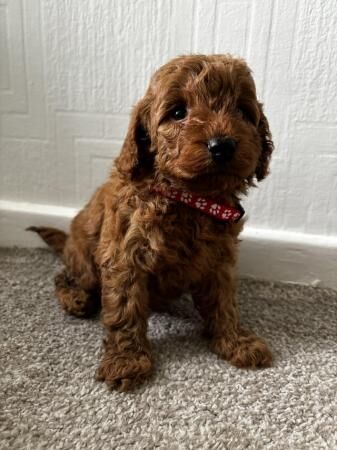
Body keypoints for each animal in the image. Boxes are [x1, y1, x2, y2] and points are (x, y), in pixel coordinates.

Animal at [29, 53, 272, 390]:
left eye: (241, 110)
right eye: (178, 112)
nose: (222, 145)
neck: (188, 198)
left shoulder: (219, 260)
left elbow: (224, 302)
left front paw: (236, 341)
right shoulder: (124, 256)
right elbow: (124, 310)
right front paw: (126, 361)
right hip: (86, 262)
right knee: (65, 277)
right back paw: (75, 297)